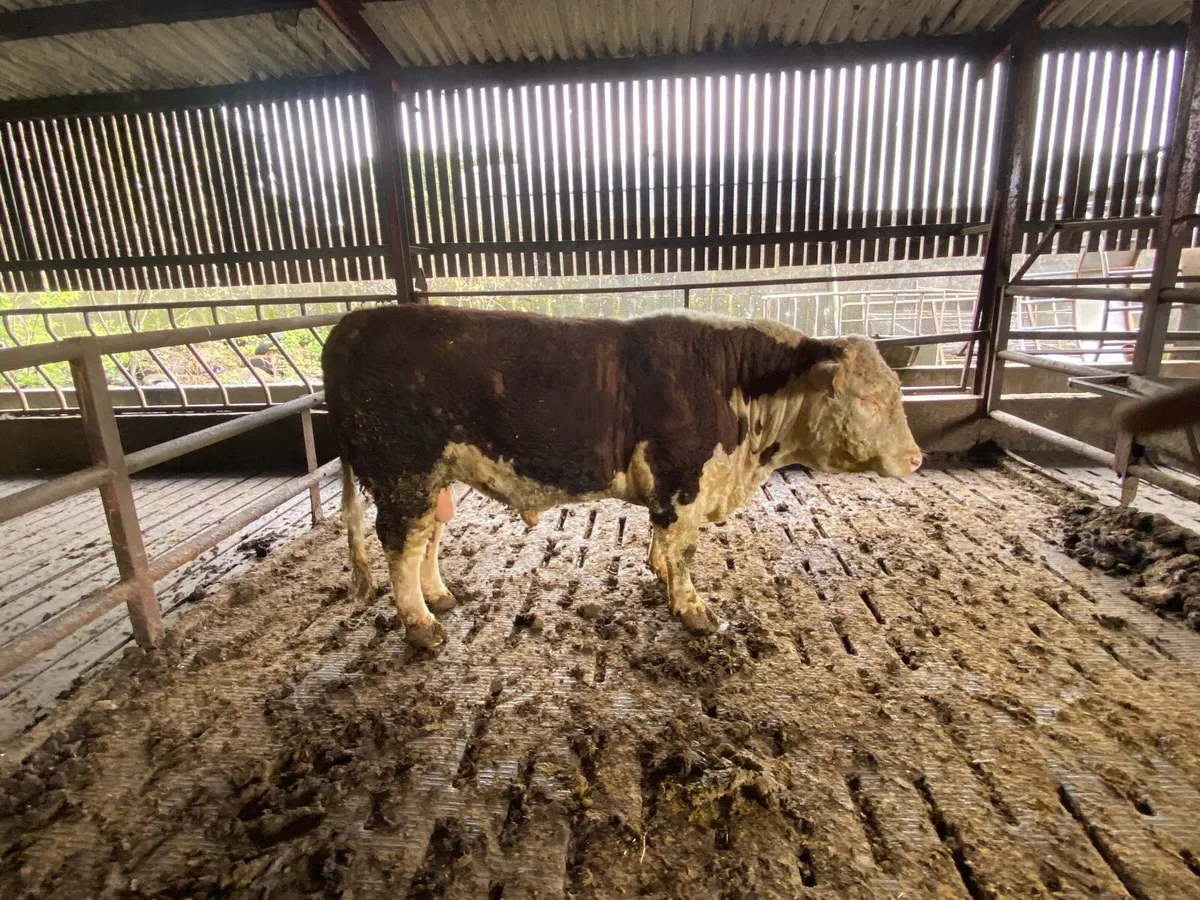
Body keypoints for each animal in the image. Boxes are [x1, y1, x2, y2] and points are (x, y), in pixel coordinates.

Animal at [322, 305, 923, 649]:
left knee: (427, 537)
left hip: (434, 476)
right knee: (400, 543)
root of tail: (350, 326)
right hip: (403, 473)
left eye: (896, 391)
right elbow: (684, 549)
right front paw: (694, 610)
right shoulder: (683, 479)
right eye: (869, 398)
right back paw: (421, 626)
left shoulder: (672, 487)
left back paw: (439, 597)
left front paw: (659, 572)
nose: (916, 458)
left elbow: (663, 541)